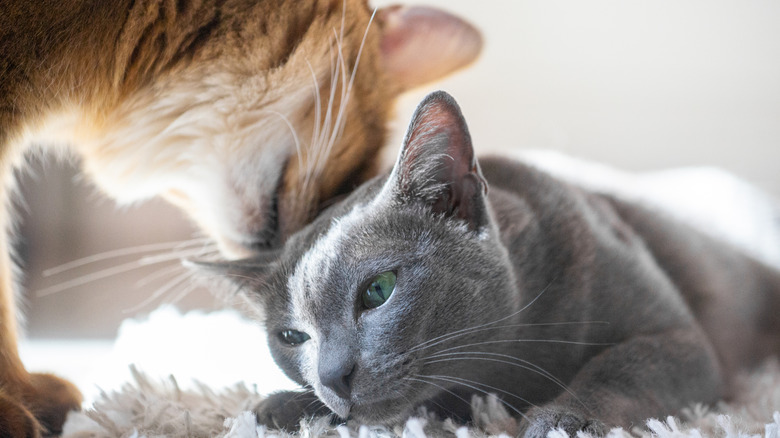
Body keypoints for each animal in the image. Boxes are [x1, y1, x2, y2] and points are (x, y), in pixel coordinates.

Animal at [195, 90, 780, 436]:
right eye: (291, 338)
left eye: (378, 290)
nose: (332, 377)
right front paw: (285, 407)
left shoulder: (683, 341)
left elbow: (622, 366)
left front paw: (565, 418)